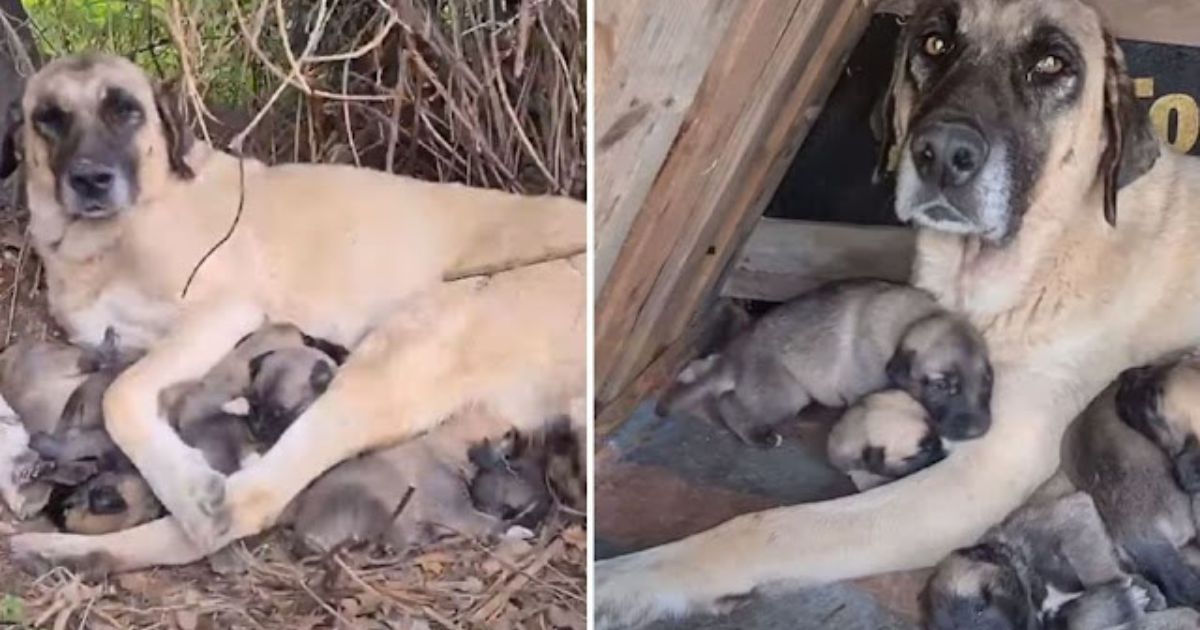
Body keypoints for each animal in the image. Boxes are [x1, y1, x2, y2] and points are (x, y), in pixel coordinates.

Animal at [3, 51, 585, 566]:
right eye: (49, 118)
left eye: (125, 109)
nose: (90, 179)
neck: (107, 240)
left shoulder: (224, 311)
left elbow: (119, 395)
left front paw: (185, 482)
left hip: (400, 354)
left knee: (250, 504)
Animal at [652, 279, 988, 446]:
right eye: (941, 385)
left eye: (987, 382)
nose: (976, 432)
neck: (915, 320)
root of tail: (734, 355)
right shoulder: (861, 390)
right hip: (787, 392)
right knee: (728, 403)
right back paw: (758, 437)